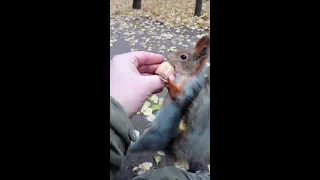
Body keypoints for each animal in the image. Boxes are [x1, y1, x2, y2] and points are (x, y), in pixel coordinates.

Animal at [127, 34, 210, 163]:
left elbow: (179, 97)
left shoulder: (189, 89)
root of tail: (167, 145)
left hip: (150, 138)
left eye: (183, 56)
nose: (168, 56)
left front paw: (169, 82)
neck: (185, 75)